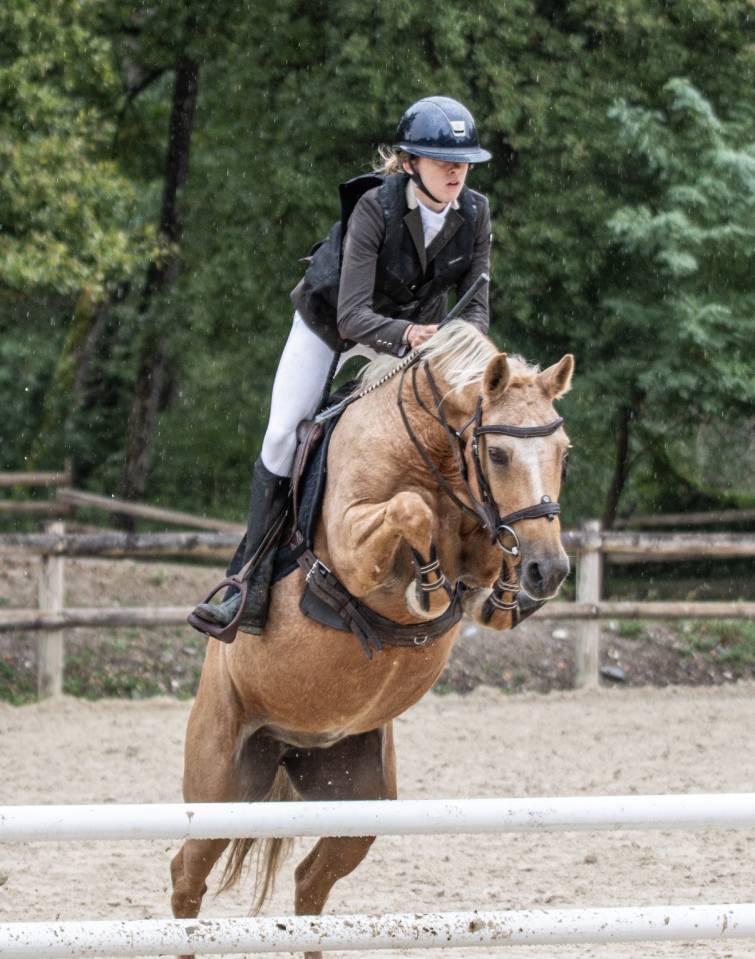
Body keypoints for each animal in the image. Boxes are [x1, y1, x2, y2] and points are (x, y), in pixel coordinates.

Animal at [170, 321, 574, 959]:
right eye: (499, 453)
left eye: (564, 453)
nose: (550, 571)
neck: (435, 455)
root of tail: (290, 742)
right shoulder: (357, 554)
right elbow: (411, 511)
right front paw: (427, 584)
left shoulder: (481, 547)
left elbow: (485, 554)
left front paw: (505, 589)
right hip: (220, 787)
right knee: (186, 878)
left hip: (358, 800)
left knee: (310, 881)